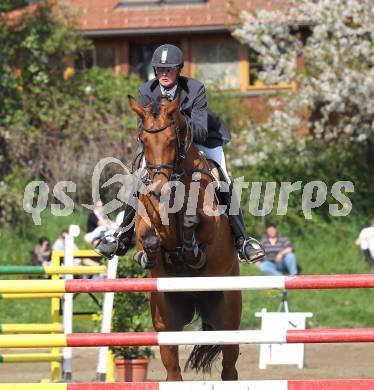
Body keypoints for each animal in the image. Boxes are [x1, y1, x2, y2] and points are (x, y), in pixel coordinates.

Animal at [129, 94, 241, 380]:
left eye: (171, 139)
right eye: (143, 139)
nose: (158, 188)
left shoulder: (212, 224)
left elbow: (193, 222)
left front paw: (191, 252)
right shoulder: (144, 223)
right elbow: (148, 237)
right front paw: (150, 256)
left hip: (228, 315)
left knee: (229, 368)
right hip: (166, 319)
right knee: (173, 371)